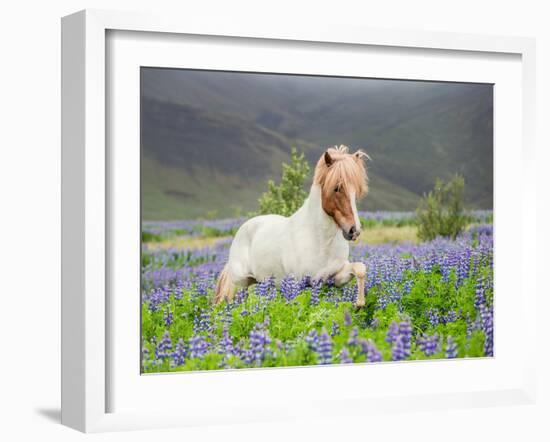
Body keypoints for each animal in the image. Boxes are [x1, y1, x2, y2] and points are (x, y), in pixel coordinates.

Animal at [216, 144, 370, 308]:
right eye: (337, 188)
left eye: (357, 190)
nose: (354, 230)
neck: (321, 241)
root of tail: (243, 228)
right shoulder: (298, 283)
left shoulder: (336, 277)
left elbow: (360, 268)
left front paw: (359, 304)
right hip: (241, 282)